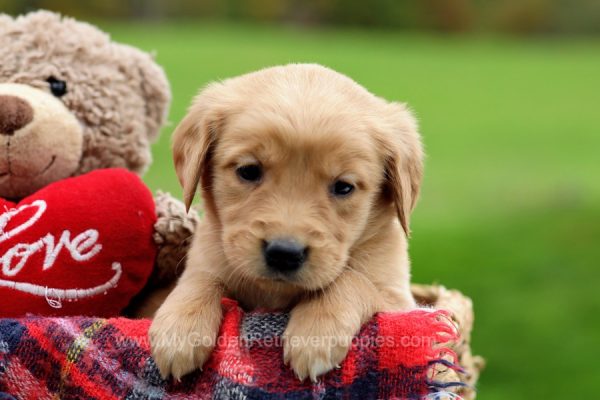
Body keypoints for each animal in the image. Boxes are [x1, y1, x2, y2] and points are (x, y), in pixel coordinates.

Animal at [149, 62, 422, 382]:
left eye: (344, 187)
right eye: (249, 171)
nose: (284, 253)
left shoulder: (399, 301)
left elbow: (355, 279)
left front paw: (316, 333)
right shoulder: (209, 254)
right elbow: (201, 278)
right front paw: (179, 329)